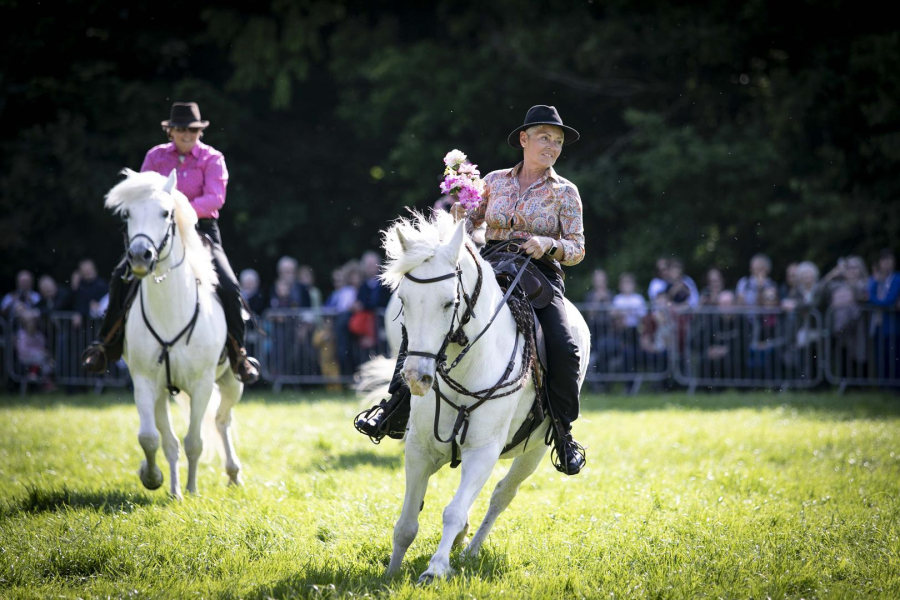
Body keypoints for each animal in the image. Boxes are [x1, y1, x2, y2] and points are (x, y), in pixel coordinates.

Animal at [106, 168, 243, 496]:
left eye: (166, 212)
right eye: (127, 214)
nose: (140, 256)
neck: (170, 311)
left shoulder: (202, 384)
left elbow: (194, 441)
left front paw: (192, 491)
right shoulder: (145, 383)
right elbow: (152, 438)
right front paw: (156, 480)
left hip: (233, 381)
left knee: (222, 419)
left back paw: (233, 473)